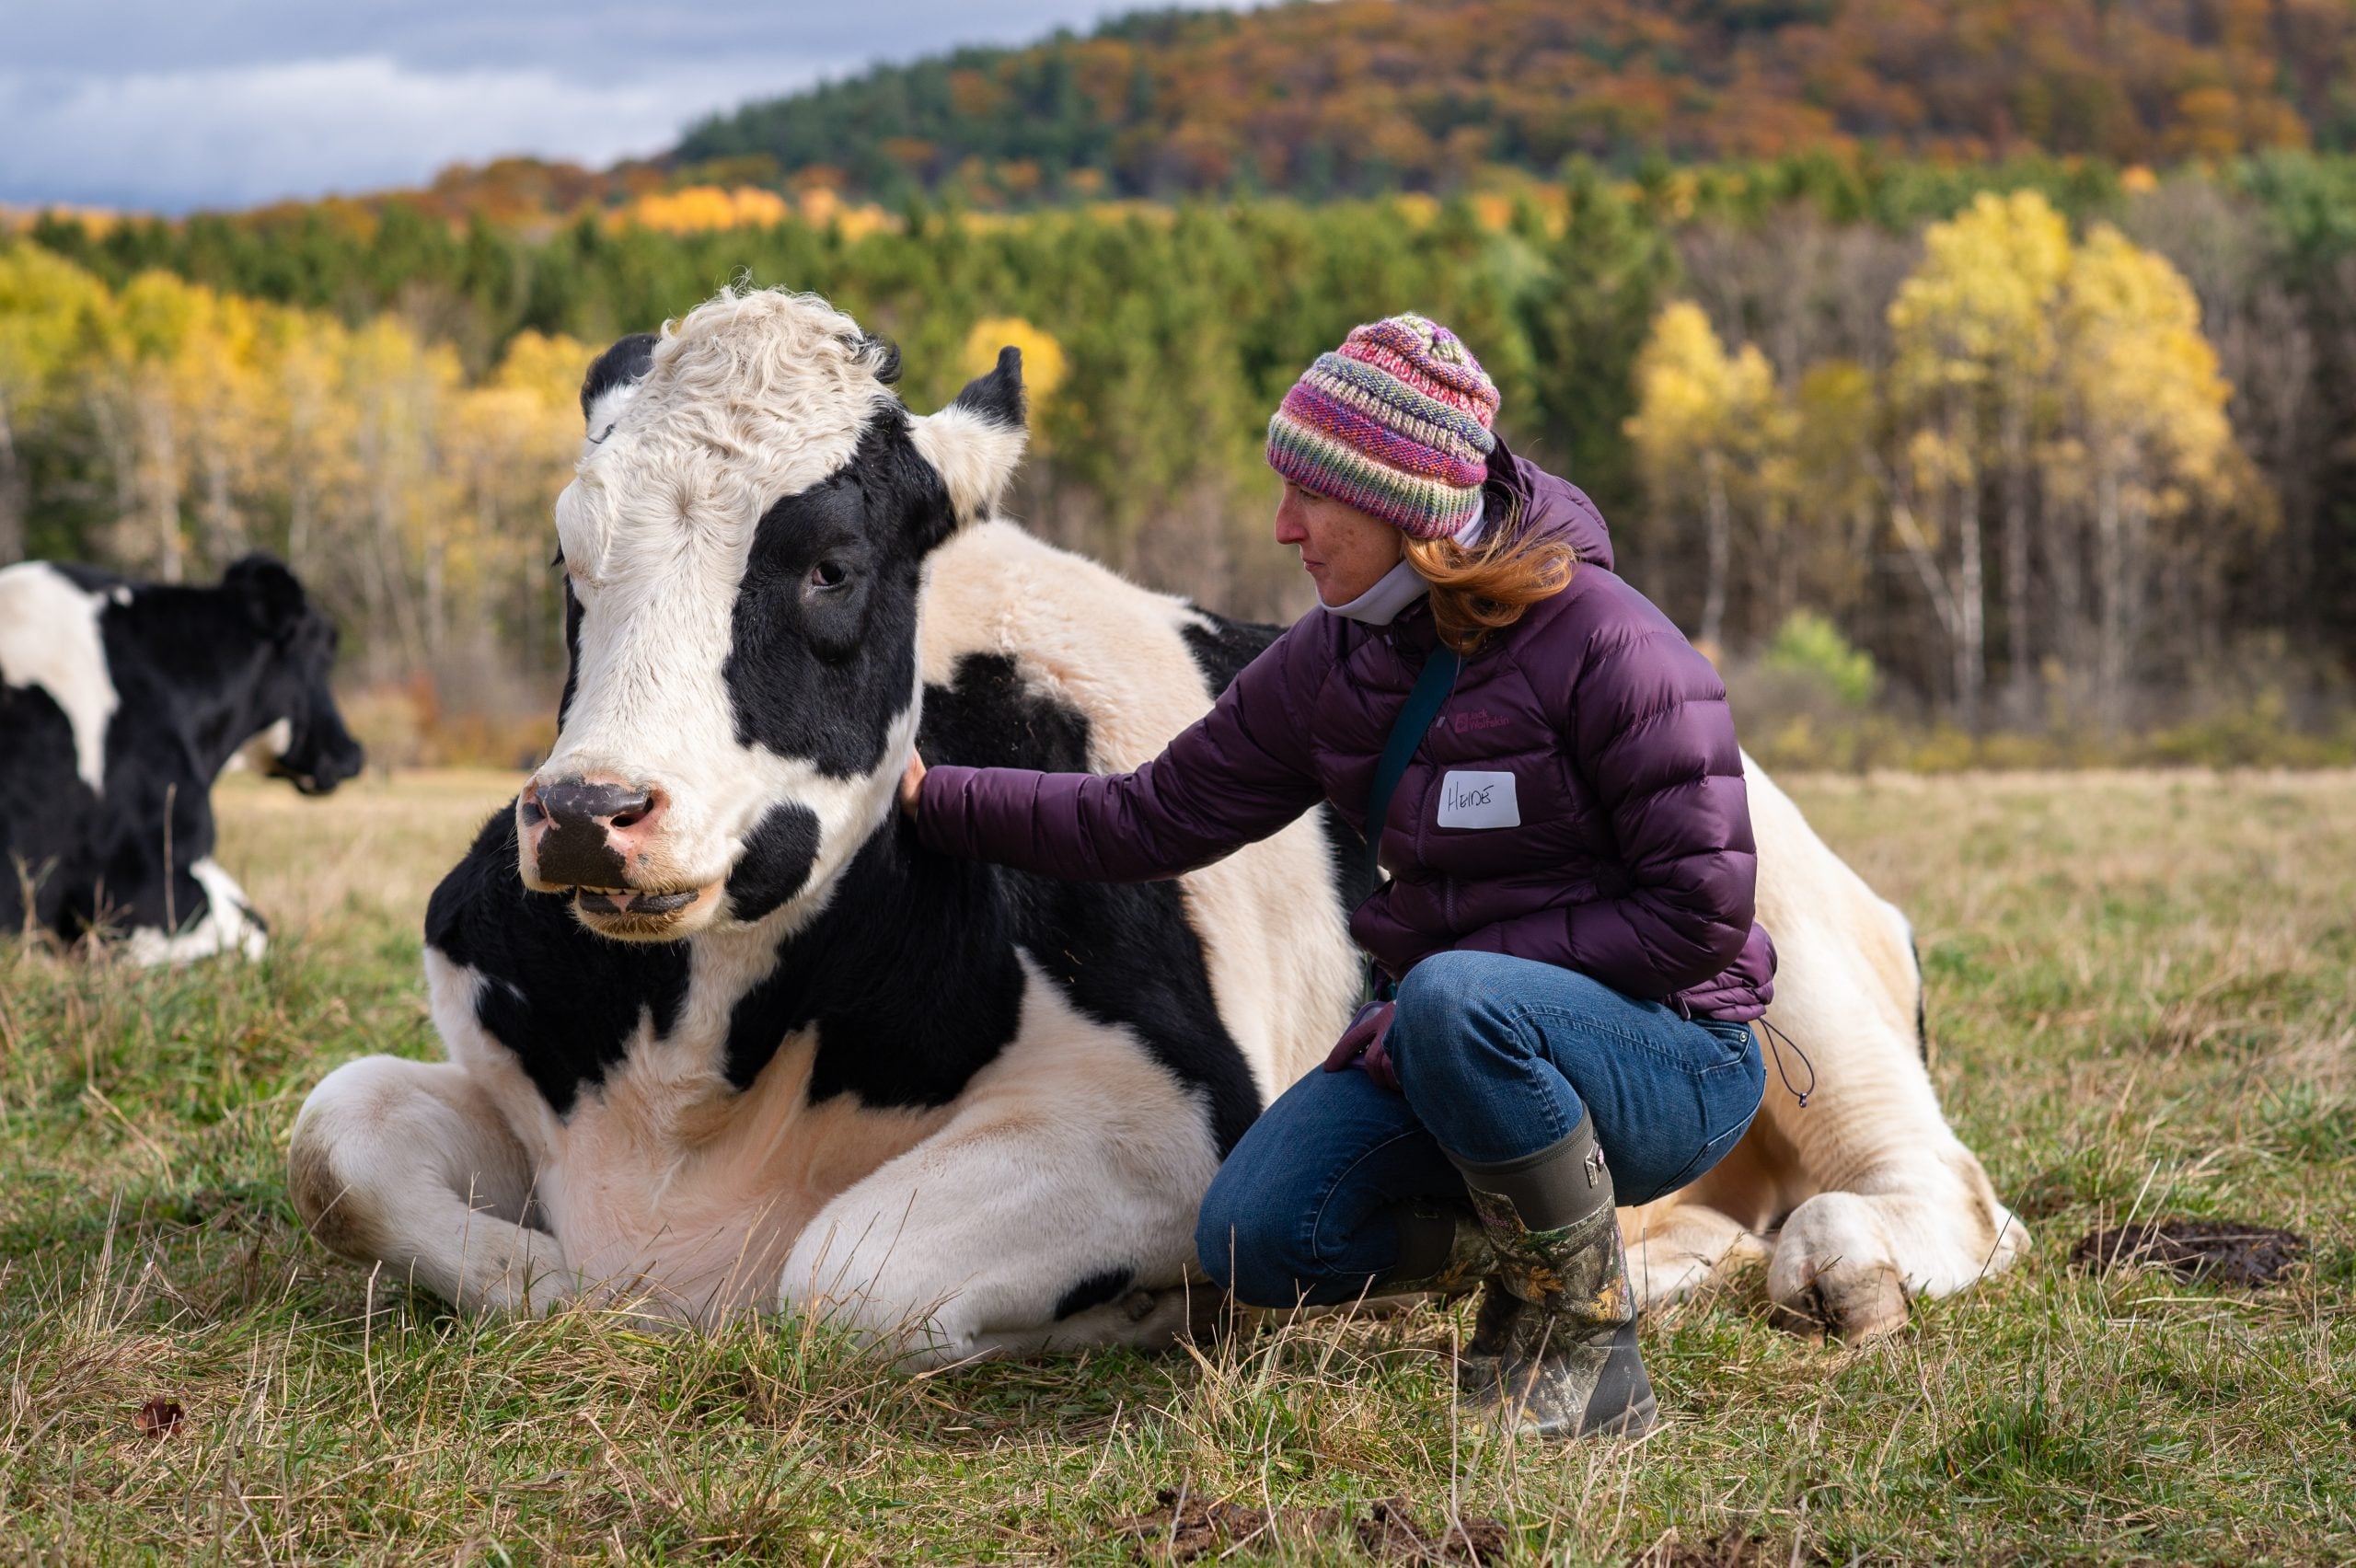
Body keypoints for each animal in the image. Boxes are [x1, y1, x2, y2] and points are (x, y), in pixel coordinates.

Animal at [287, 287, 2021, 1368]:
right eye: (569, 561)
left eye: (832, 563)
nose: (590, 814)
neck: (689, 1072)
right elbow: (340, 1138)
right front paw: (558, 1282)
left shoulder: (1166, 1125)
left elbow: (843, 1274)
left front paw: (1118, 1314)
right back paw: (1658, 1261)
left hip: (1793, 960)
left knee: (1939, 1187)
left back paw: (1839, 1264)